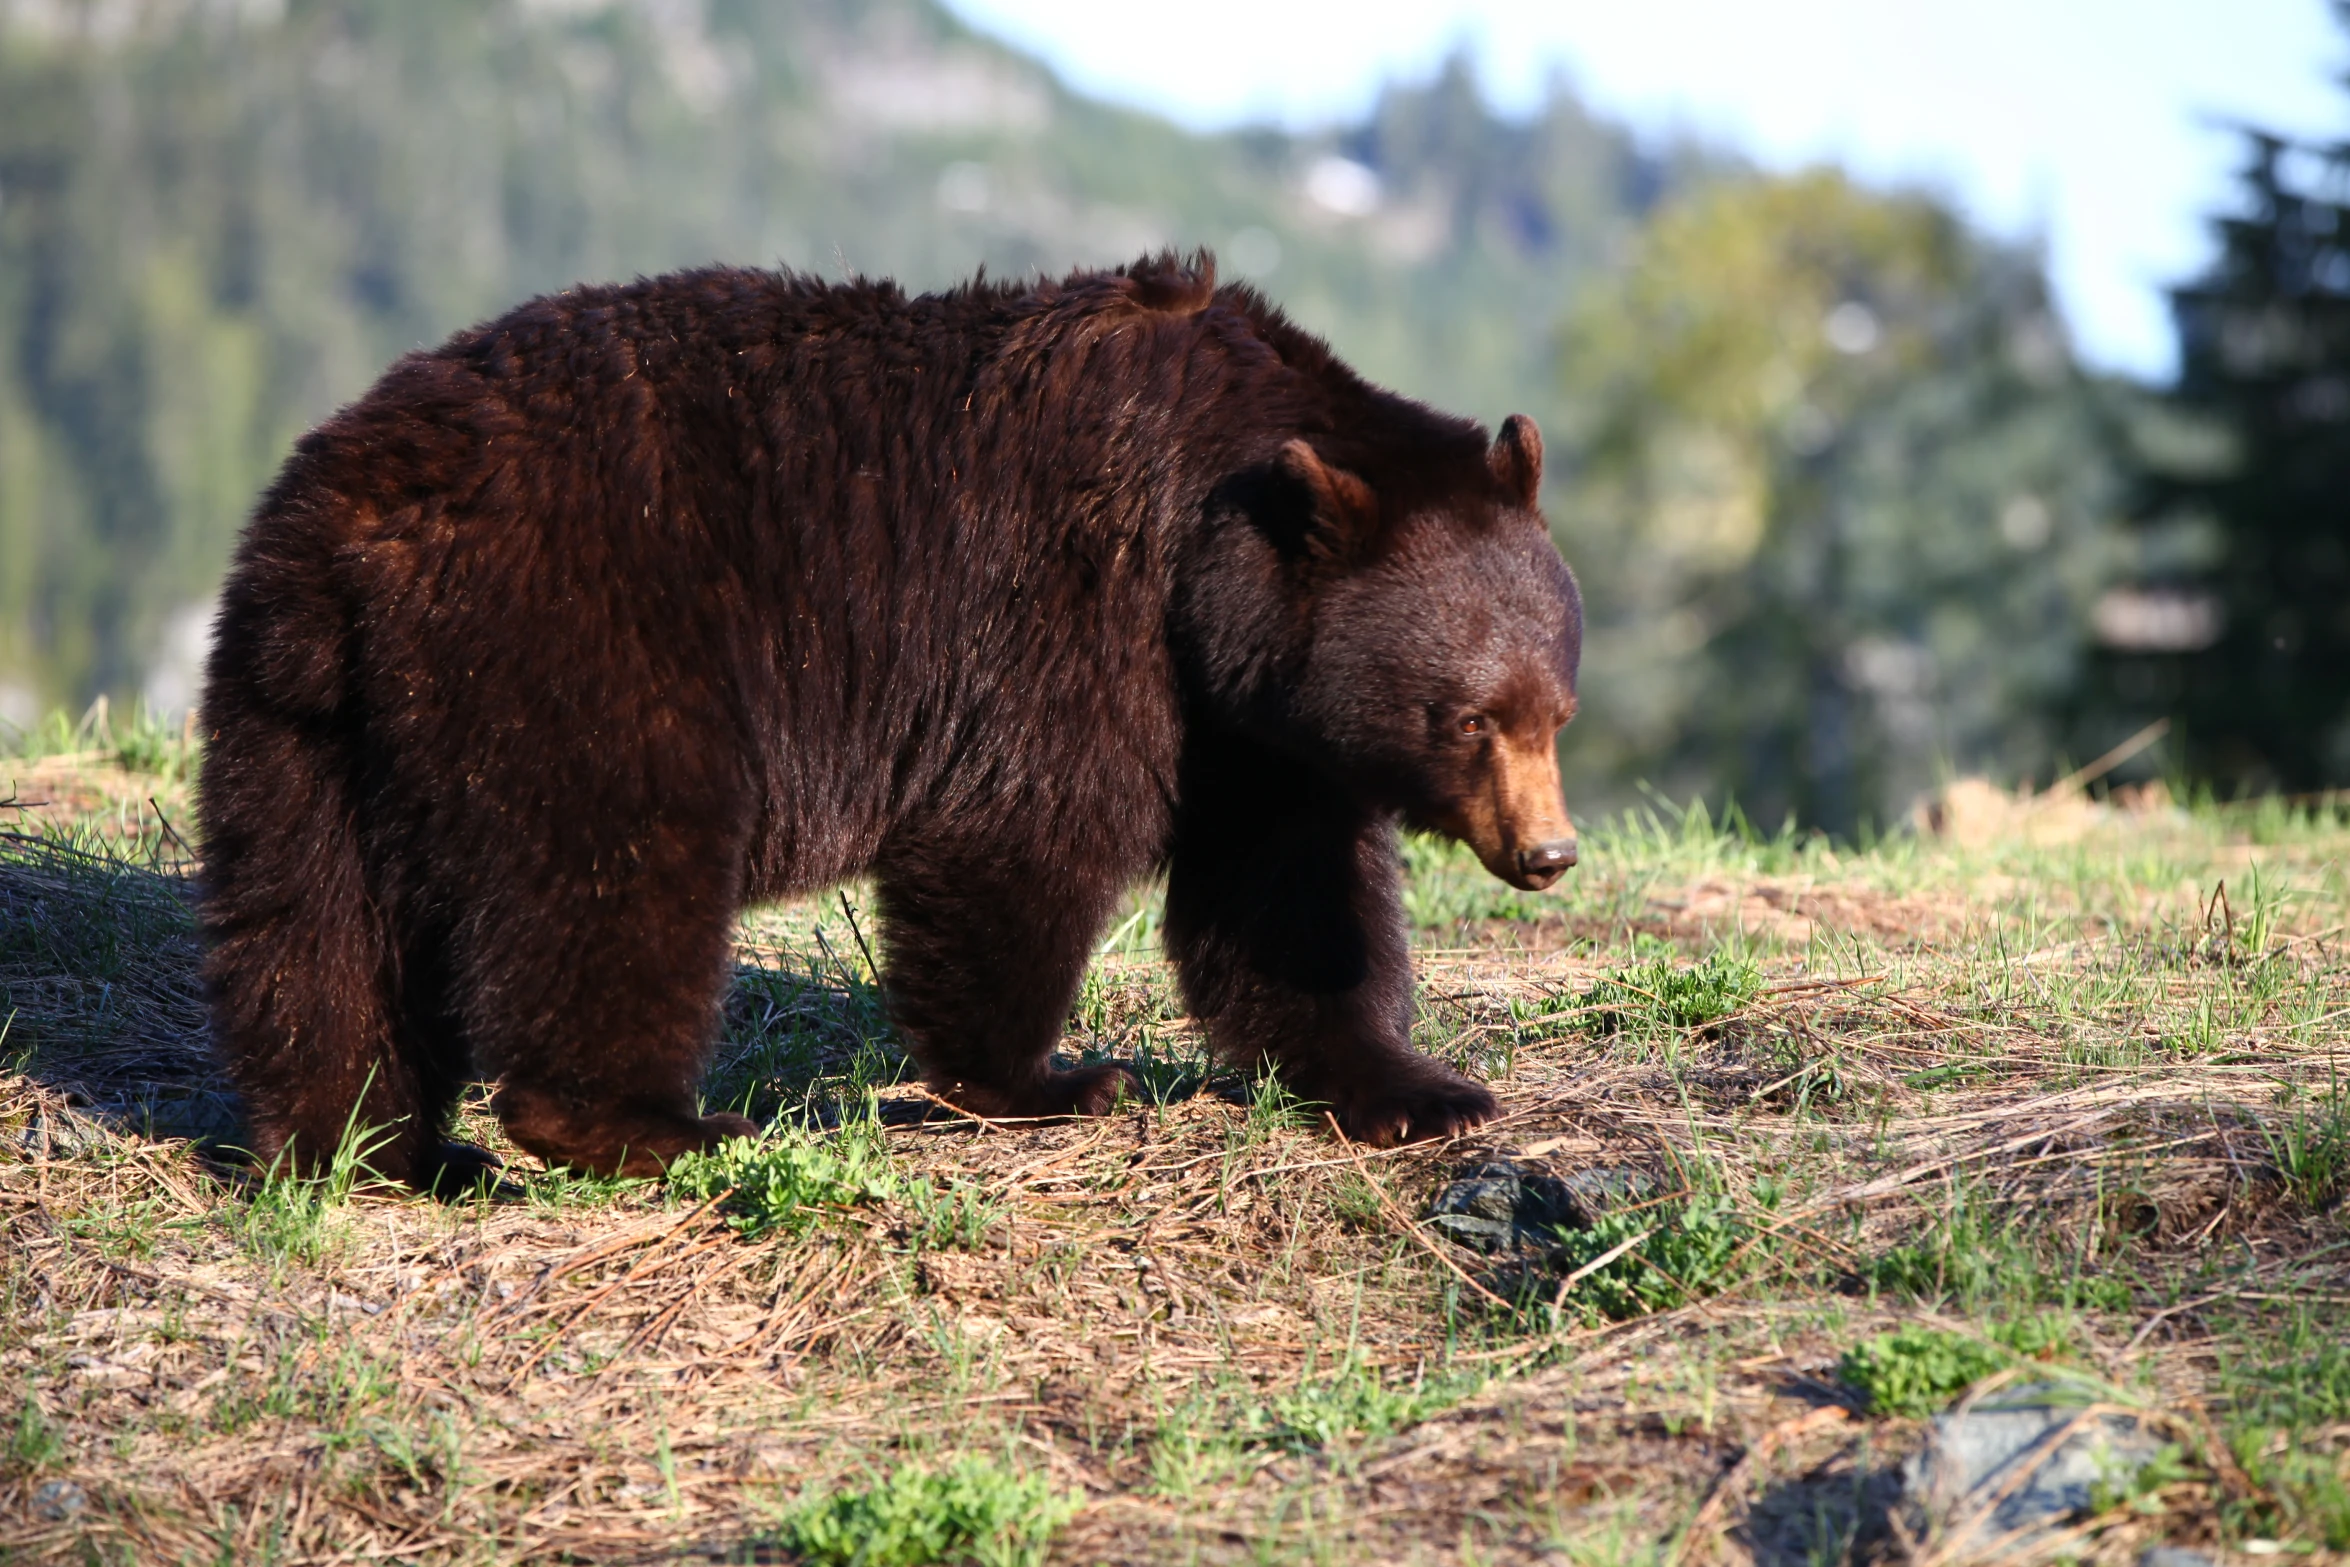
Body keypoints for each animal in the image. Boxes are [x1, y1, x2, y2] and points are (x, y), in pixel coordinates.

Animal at [202, 254, 1579, 1188]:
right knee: (610, 873)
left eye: (1554, 709)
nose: (1549, 852)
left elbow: (1291, 903)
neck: (1205, 548)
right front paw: (1052, 1079)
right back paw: (650, 1121)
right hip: (581, 640)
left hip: (304, 717)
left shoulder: (1250, 727)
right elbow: (1022, 833)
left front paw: (1420, 1088)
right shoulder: (1075, 616)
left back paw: (371, 1143)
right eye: (1471, 718)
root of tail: (353, 531)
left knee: (314, 927)